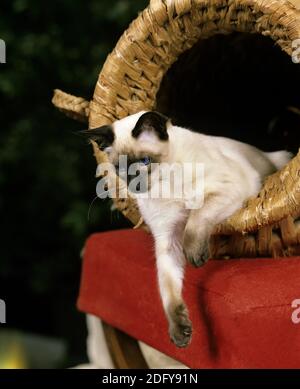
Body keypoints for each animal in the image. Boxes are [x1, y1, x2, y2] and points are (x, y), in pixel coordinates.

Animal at [81, 110, 290, 348]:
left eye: (145, 161)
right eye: (120, 168)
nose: (134, 185)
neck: (165, 186)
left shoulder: (225, 190)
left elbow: (195, 221)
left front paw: (196, 257)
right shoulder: (167, 238)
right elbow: (168, 289)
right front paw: (180, 333)